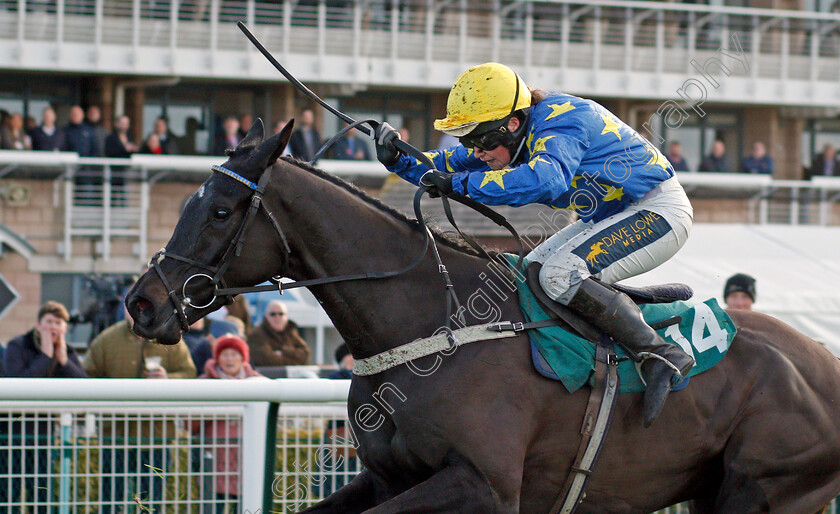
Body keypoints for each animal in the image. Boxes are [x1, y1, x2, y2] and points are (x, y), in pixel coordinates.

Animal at [126, 119, 840, 508]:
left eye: (220, 210)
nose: (141, 302)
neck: (433, 328)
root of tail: (822, 360)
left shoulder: (483, 486)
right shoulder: (388, 478)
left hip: (768, 485)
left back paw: (666, 360)